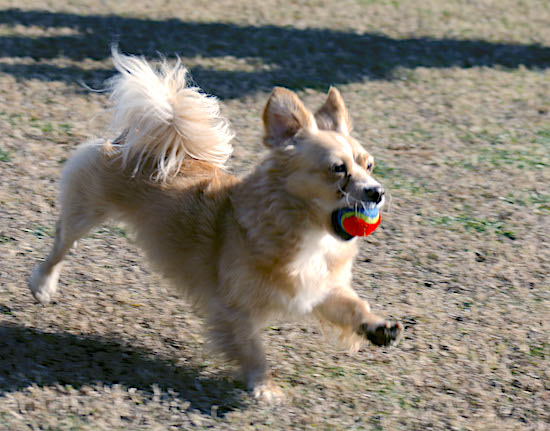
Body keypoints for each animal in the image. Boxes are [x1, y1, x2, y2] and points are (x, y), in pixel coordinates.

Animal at [30, 49, 404, 404]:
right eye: (338, 169)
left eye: (369, 165)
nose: (377, 191)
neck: (308, 233)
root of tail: (135, 140)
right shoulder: (233, 307)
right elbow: (252, 349)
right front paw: (264, 387)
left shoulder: (319, 289)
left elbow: (353, 306)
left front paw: (378, 327)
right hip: (85, 212)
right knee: (61, 243)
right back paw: (43, 285)